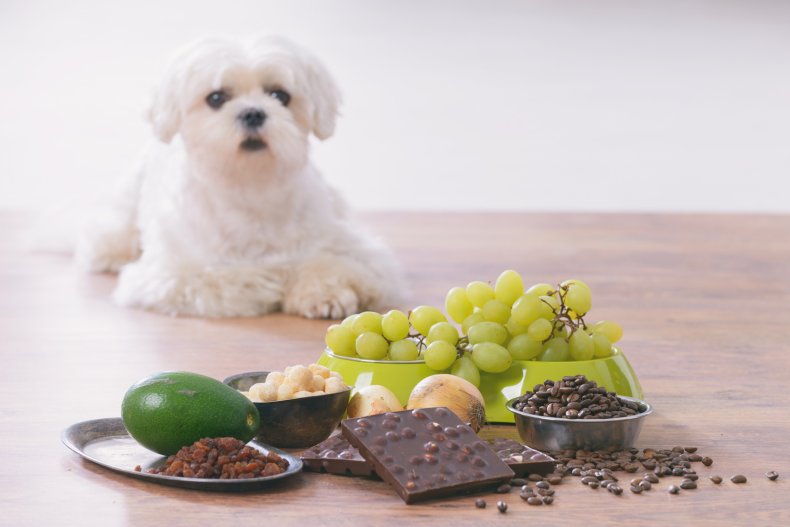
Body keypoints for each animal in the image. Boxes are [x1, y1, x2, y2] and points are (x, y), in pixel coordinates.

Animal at [76, 37, 400, 320]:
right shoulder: (174, 275)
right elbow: (245, 276)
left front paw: (326, 291)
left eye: (280, 95)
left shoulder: (358, 250)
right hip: (122, 217)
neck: (249, 188)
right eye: (216, 97)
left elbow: (335, 263)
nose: (253, 113)